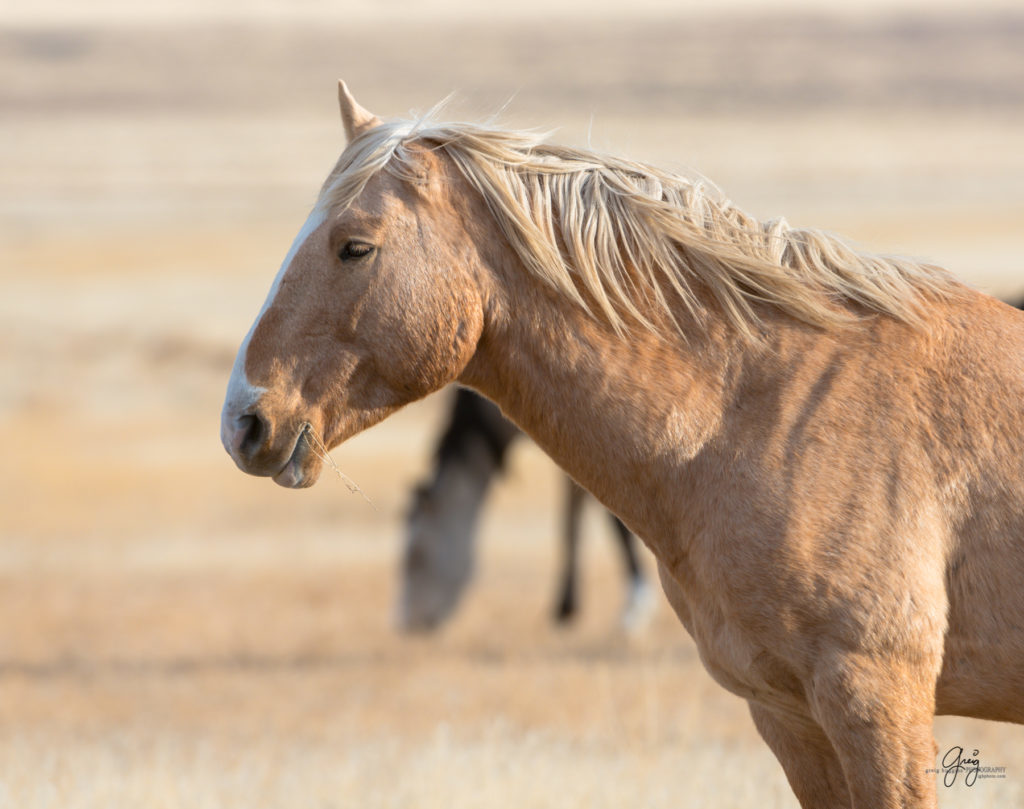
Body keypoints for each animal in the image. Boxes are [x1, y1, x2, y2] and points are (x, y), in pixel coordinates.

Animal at [395, 387, 651, 634]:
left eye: (416, 555)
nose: (405, 624)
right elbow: (570, 525)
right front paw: (565, 607)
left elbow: (615, 520)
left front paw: (636, 603)